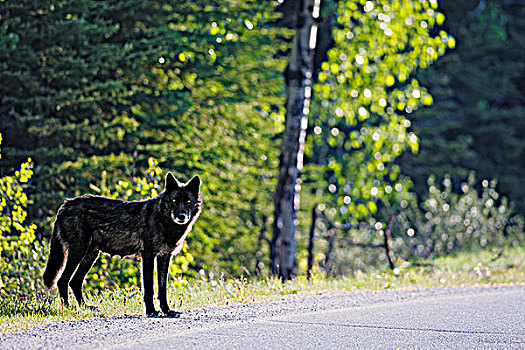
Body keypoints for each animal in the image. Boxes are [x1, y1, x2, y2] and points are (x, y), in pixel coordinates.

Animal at [41, 173, 200, 318]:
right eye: (174, 200)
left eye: (188, 201)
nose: (181, 216)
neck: (164, 220)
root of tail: (65, 205)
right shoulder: (148, 256)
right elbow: (149, 288)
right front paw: (151, 312)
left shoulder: (164, 257)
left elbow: (162, 288)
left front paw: (167, 311)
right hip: (78, 253)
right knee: (62, 280)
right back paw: (70, 309)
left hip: (91, 255)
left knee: (75, 282)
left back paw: (86, 307)